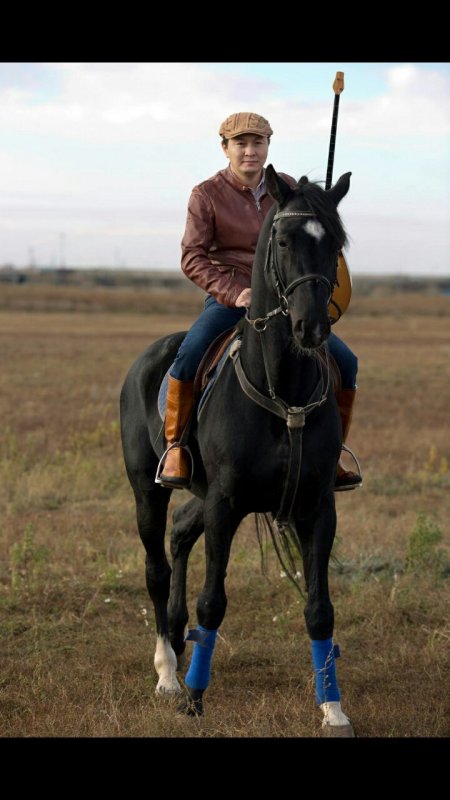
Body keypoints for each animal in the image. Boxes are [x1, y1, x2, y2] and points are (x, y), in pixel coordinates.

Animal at [119, 166, 356, 736]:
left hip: (200, 497)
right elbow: (213, 602)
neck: (283, 391)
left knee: (181, 531)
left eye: (335, 243)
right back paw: (168, 673)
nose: (312, 328)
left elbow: (320, 609)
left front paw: (333, 708)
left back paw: (177, 645)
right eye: (284, 239)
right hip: (147, 490)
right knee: (156, 567)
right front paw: (194, 699)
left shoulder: (318, 507)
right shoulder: (225, 505)